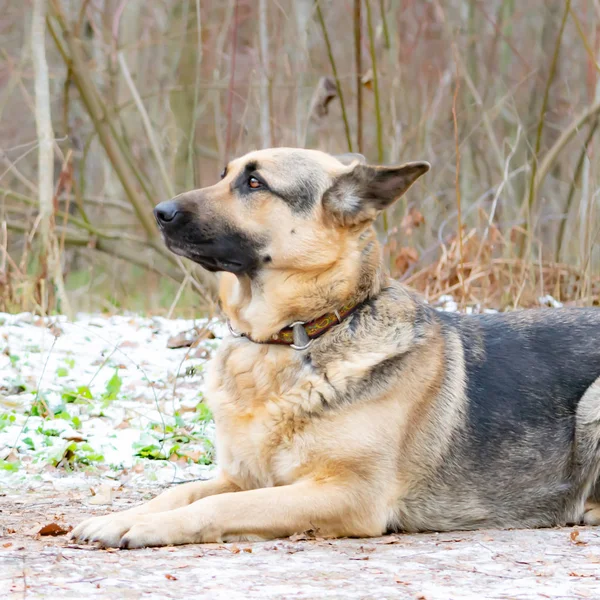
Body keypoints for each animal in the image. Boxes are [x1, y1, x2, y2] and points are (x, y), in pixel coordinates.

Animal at [72, 148, 600, 548]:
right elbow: (182, 492)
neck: (296, 334)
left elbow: (221, 504)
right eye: (224, 175)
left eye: (255, 183)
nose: (160, 212)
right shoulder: (244, 475)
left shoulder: (346, 493)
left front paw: (151, 527)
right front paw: (124, 517)